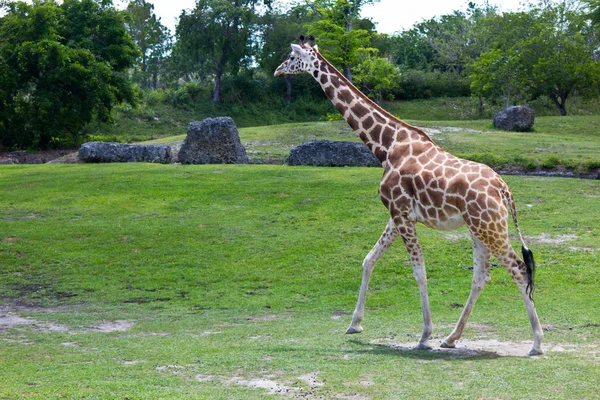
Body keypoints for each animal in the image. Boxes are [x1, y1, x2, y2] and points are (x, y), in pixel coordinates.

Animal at [276, 36, 544, 356]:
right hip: (479, 227)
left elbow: (418, 272)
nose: (278, 70)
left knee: (518, 268)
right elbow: (368, 260)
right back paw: (451, 338)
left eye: (292, 57)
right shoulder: (396, 215)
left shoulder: (402, 213)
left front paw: (424, 335)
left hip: (489, 226)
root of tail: (504, 188)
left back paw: (537, 342)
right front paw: (355, 324)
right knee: (482, 275)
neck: (386, 146)